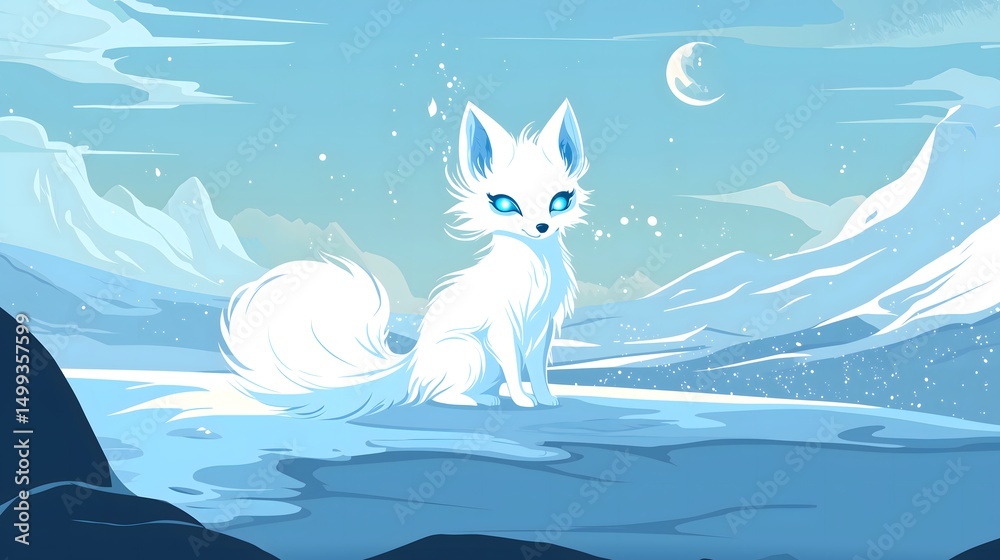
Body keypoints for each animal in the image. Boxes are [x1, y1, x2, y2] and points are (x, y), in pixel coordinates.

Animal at [220, 100, 590, 418]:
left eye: (560, 201)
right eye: (504, 204)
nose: (541, 227)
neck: (536, 268)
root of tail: (412, 368)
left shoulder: (542, 328)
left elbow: (538, 369)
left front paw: (544, 398)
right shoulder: (502, 327)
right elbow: (516, 368)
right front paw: (523, 400)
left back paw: (485, 397)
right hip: (472, 351)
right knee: (441, 394)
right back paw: (472, 400)